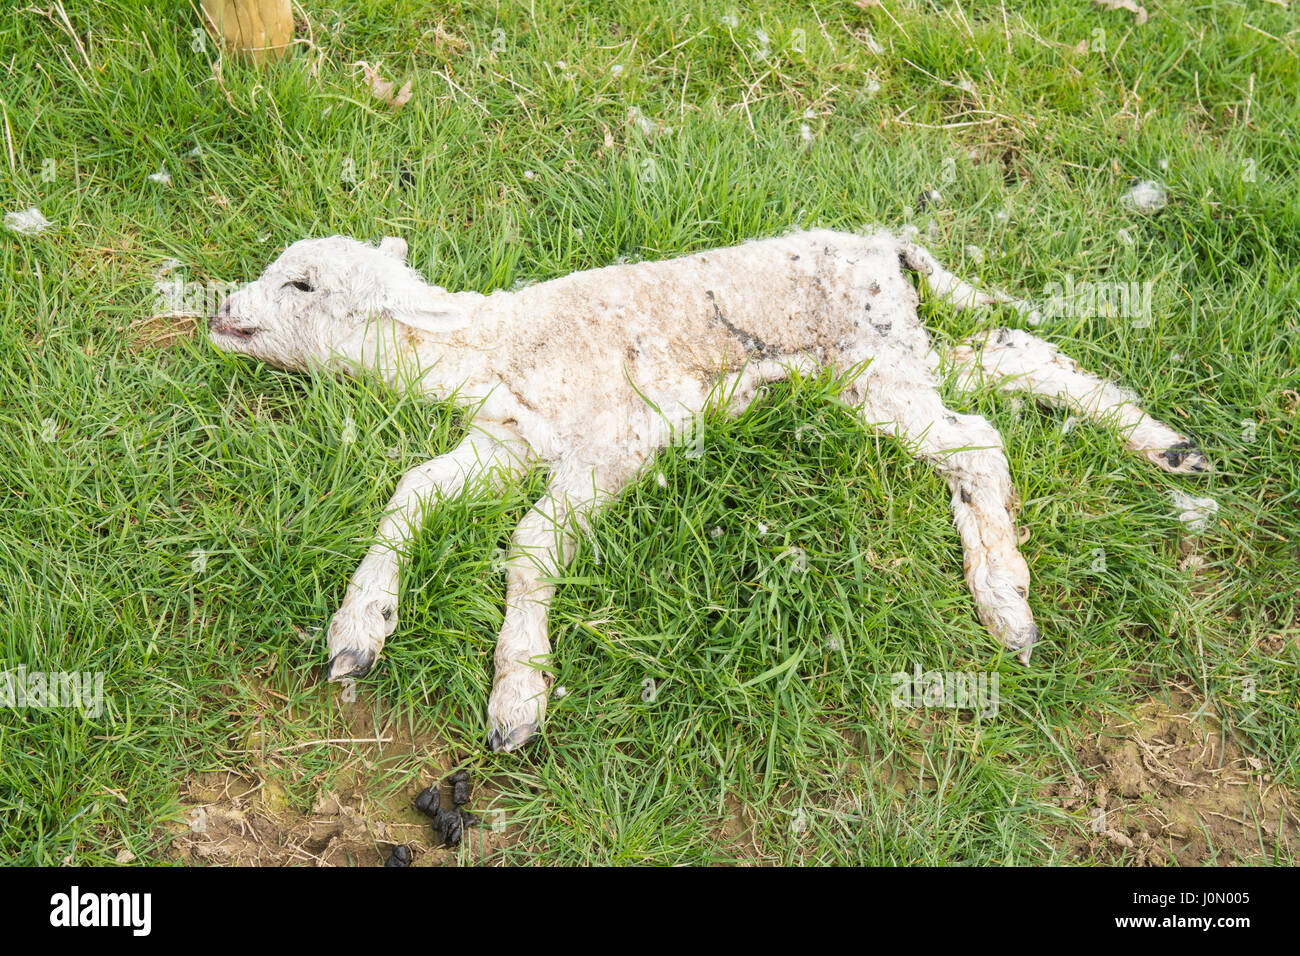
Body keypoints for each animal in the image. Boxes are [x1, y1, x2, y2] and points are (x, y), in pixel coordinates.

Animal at [208, 229, 1211, 751]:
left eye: (303, 284)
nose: (218, 308)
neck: (492, 351)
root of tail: (887, 243)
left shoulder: (612, 440)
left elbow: (529, 544)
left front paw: (518, 698)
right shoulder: (508, 440)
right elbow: (411, 490)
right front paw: (358, 630)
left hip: (871, 363)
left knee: (980, 442)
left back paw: (1007, 601)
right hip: (896, 353)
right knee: (1011, 354)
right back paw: (1170, 450)